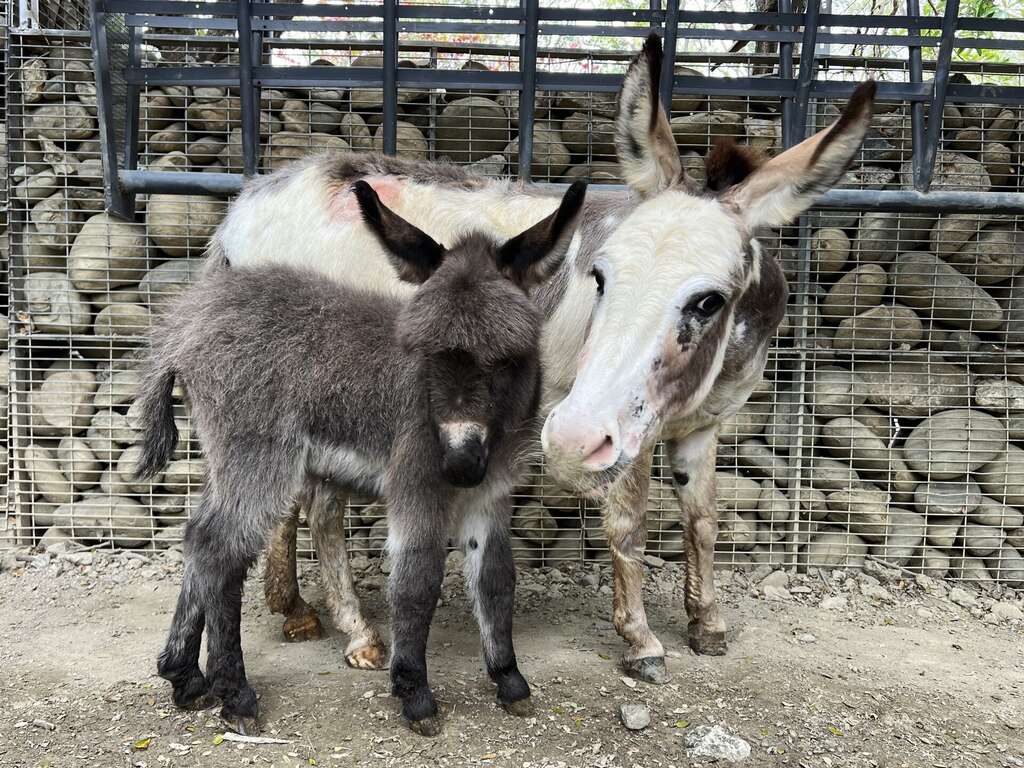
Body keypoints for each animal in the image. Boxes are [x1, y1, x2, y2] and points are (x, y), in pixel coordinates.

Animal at [132, 177, 589, 737]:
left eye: (506, 359)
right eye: (423, 353)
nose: (460, 465)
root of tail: (187, 325)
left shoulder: (489, 497)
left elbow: (497, 581)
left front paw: (509, 681)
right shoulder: (416, 485)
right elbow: (417, 584)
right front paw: (415, 694)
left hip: (229, 460)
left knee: (198, 539)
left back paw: (184, 677)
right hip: (257, 458)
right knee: (220, 549)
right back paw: (234, 693)